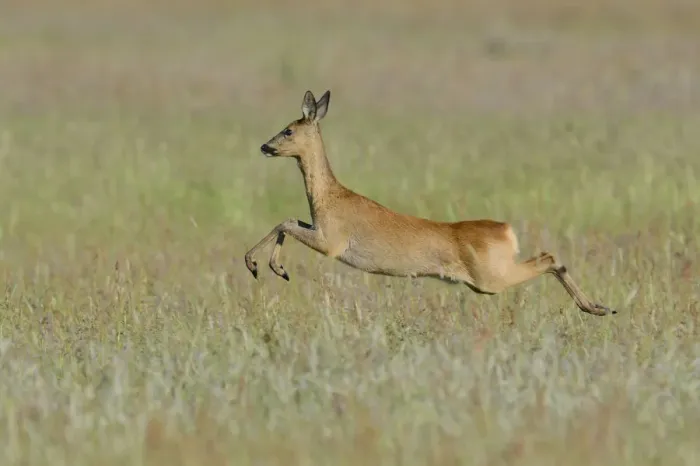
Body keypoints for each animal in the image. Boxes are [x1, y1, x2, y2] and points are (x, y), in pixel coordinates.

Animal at [244, 90, 615, 317]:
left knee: (549, 258)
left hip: (491, 280)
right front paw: (276, 268)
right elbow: (289, 220)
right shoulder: (317, 230)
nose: (264, 146)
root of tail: (506, 229)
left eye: (289, 130)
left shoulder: (330, 243)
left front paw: (259, 265)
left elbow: (285, 222)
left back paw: (597, 308)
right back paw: (600, 307)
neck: (331, 195)